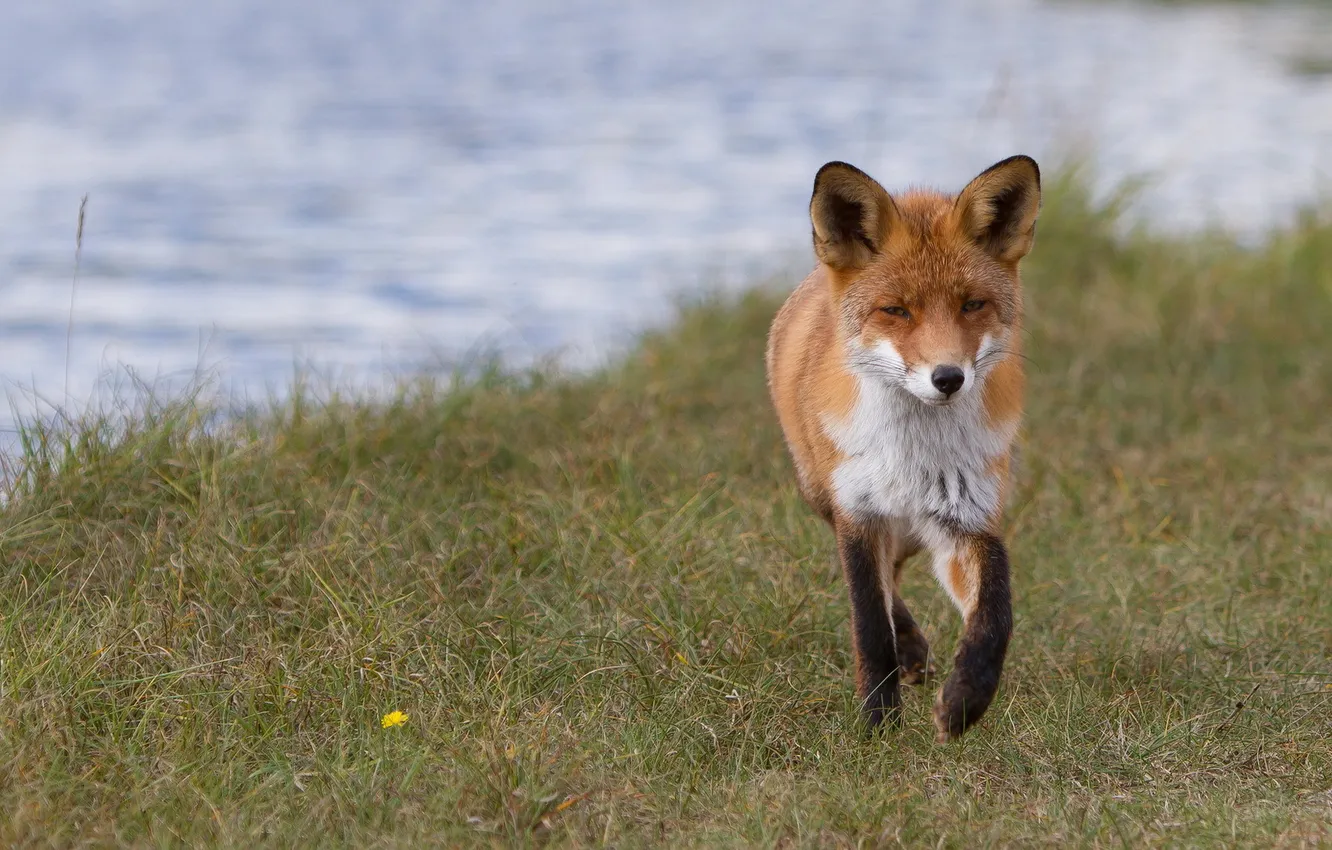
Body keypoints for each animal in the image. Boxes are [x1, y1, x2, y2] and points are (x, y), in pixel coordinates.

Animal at [772, 156, 1038, 740]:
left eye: (972, 304)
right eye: (896, 310)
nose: (948, 378)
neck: (914, 457)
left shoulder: (967, 518)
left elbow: (996, 613)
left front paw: (965, 700)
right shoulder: (858, 513)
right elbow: (870, 624)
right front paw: (878, 725)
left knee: (896, 573)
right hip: (821, 494)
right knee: (884, 588)